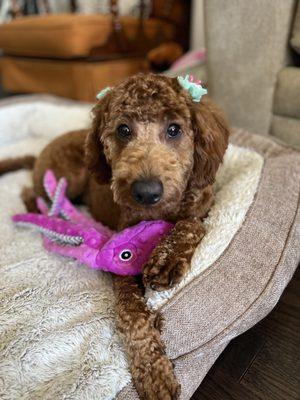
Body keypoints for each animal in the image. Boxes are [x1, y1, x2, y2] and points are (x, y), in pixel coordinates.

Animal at [1, 73, 229, 398]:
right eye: (123, 130)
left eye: (174, 129)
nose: (146, 192)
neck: (162, 212)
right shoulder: (120, 256)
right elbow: (131, 313)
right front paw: (154, 374)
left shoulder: (202, 207)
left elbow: (191, 225)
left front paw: (166, 260)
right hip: (70, 177)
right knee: (31, 193)